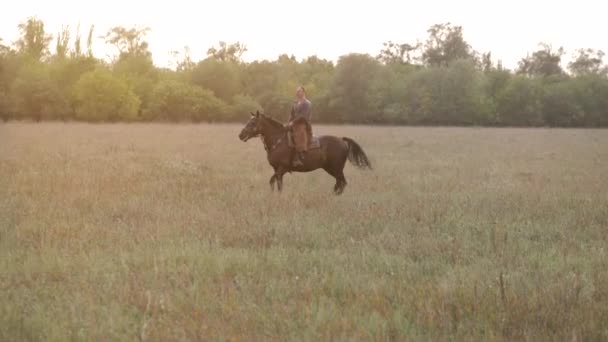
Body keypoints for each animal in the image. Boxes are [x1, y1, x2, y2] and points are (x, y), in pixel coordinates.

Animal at [240, 111, 372, 194]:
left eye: (253, 123)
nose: (240, 135)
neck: (278, 140)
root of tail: (342, 140)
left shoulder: (282, 168)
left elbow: (273, 182)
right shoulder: (277, 169)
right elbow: (277, 183)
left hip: (336, 169)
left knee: (342, 183)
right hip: (331, 169)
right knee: (339, 184)